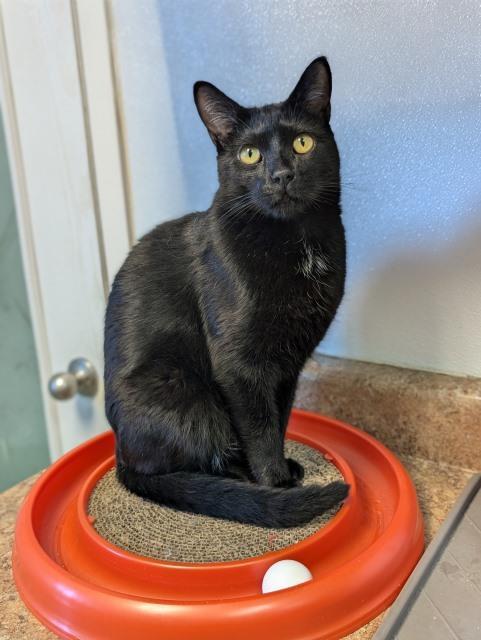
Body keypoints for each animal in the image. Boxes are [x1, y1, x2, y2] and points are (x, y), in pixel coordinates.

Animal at [103, 57, 346, 524]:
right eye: (249, 154)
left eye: (303, 143)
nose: (281, 175)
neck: (294, 242)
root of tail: (121, 455)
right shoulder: (239, 364)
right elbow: (259, 427)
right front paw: (274, 484)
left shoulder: (288, 364)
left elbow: (279, 420)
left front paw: (280, 468)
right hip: (187, 393)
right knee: (187, 460)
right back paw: (237, 480)